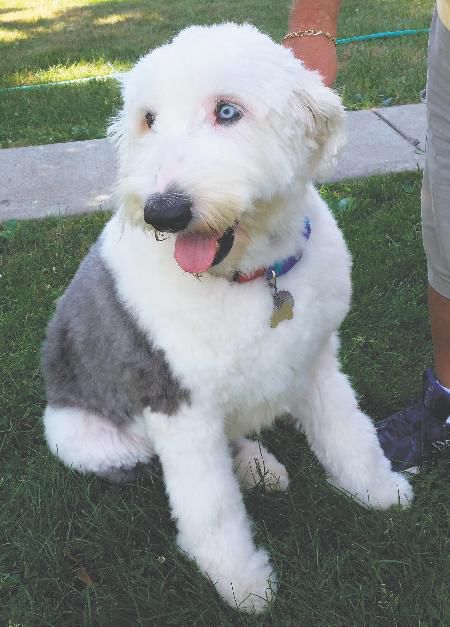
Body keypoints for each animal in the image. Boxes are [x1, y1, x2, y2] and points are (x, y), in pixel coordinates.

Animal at [41, 23, 412, 612]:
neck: (252, 277)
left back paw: (259, 468)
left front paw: (380, 491)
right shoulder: (180, 407)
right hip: (80, 436)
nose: (163, 211)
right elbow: (210, 506)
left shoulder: (317, 360)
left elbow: (348, 432)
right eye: (148, 119)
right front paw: (244, 584)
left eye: (228, 111)